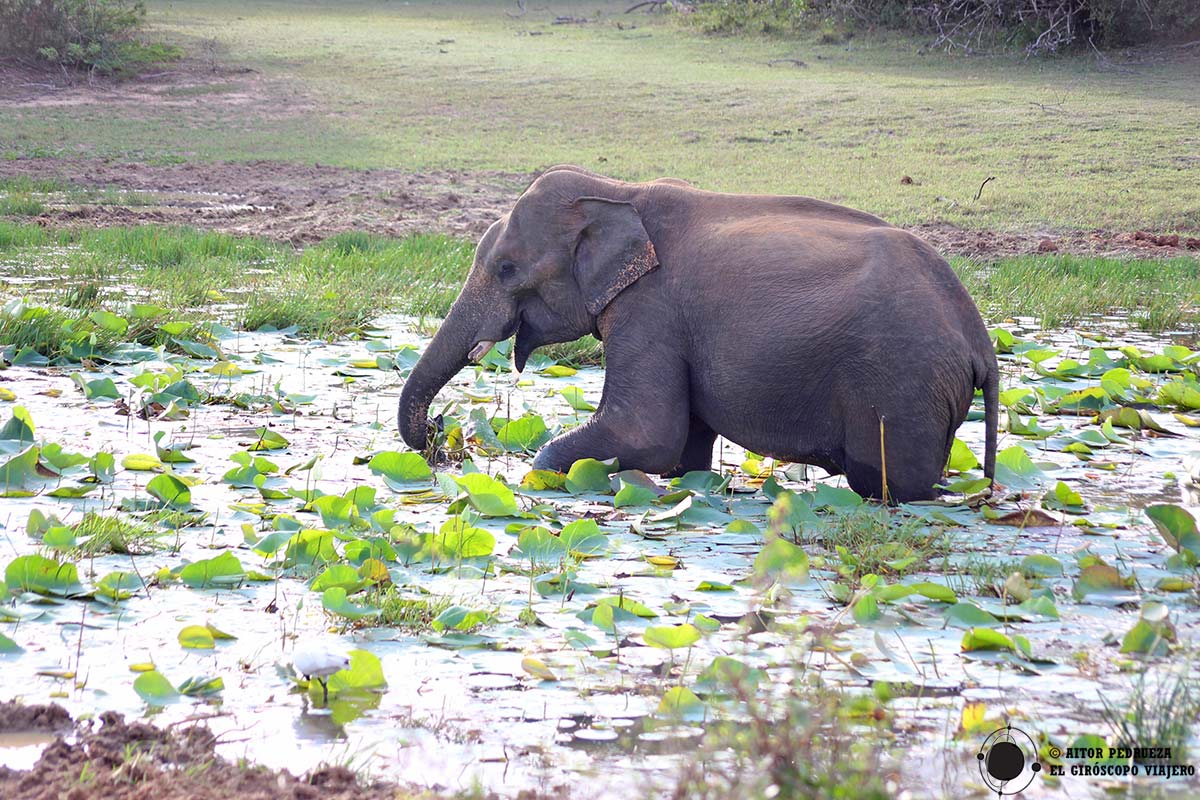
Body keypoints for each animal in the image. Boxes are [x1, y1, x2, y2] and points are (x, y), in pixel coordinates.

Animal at [398, 164, 998, 501]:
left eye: (506, 269)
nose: (444, 438)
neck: (620, 192)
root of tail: (980, 343)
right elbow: (684, 457)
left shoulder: (650, 312)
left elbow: (645, 434)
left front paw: (543, 474)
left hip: (901, 384)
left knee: (890, 483)